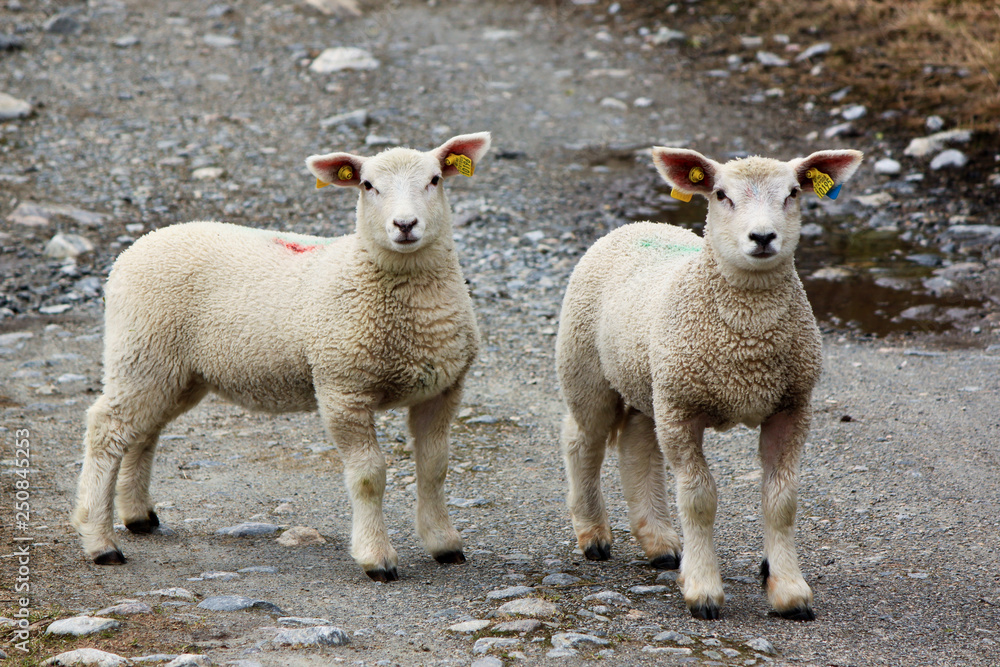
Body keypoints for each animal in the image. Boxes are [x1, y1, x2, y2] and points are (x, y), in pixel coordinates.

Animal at [71, 132, 492, 582]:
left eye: (435, 180)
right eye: (367, 186)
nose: (405, 225)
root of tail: (141, 243)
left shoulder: (444, 388)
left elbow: (434, 467)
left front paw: (443, 542)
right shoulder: (342, 387)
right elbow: (368, 476)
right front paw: (376, 558)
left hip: (174, 372)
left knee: (142, 432)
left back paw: (138, 517)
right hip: (140, 351)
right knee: (106, 430)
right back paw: (100, 542)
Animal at [555, 146, 863, 620]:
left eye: (793, 193)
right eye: (721, 195)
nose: (762, 237)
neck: (748, 337)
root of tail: (636, 225)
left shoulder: (791, 407)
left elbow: (782, 501)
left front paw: (788, 589)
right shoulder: (684, 410)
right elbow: (699, 500)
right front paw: (703, 590)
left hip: (652, 383)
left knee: (637, 445)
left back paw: (660, 543)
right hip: (587, 367)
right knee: (582, 439)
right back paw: (593, 535)